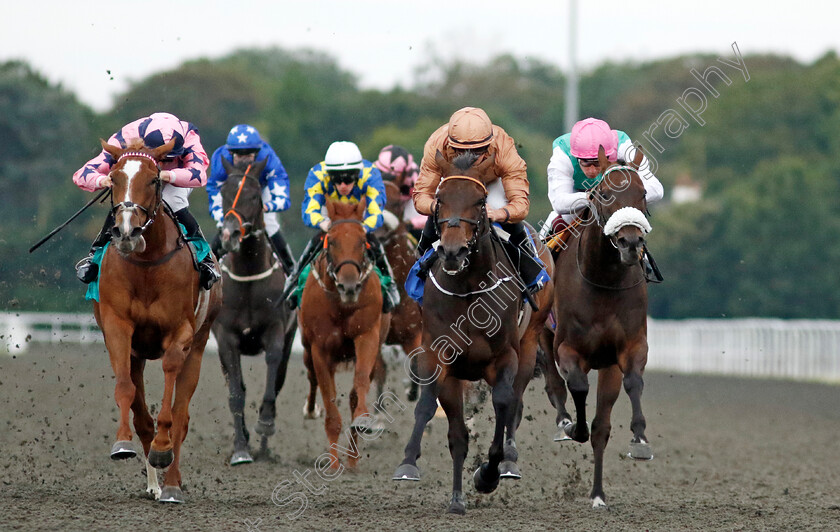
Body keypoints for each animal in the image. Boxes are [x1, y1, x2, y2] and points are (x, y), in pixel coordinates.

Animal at [94, 138, 223, 502]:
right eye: (113, 177)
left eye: (154, 179)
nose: (126, 231)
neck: (147, 264)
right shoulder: (117, 327)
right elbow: (126, 390)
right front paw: (122, 444)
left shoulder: (180, 333)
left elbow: (170, 393)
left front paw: (163, 451)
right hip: (137, 353)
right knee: (142, 412)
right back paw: (154, 482)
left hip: (200, 345)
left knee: (181, 414)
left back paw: (171, 483)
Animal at [210, 158, 298, 466]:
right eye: (223, 193)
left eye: (254, 195)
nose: (229, 233)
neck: (248, 275)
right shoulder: (226, 338)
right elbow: (236, 394)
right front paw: (239, 449)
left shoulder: (276, 331)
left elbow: (272, 380)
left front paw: (265, 425)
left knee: (278, 380)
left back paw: (263, 447)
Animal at [298, 197, 390, 468]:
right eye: (332, 240)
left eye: (362, 241)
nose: (349, 286)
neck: (341, 304)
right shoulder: (319, 349)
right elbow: (329, 402)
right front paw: (332, 463)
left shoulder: (367, 336)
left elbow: (359, 383)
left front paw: (361, 421)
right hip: (306, 348)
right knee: (312, 378)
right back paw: (311, 410)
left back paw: (352, 456)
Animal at [392, 150, 556, 516]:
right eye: (440, 199)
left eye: (480, 201)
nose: (453, 251)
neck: (468, 288)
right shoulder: (439, 357)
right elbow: (434, 412)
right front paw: (410, 464)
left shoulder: (504, 358)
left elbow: (504, 403)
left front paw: (488, 473)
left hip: (529, 344)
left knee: (515, 403)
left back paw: (508, 460)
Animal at [552, 144, 656, 508]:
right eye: (606, 194)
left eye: (642, 194)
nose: (630, 242)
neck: (603, 279)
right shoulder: (567, 349)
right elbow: (578, 386)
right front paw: (574, 428)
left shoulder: (629, 347)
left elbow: (634, 383)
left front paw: (640, 439)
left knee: (601, 427)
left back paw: (597, 494)